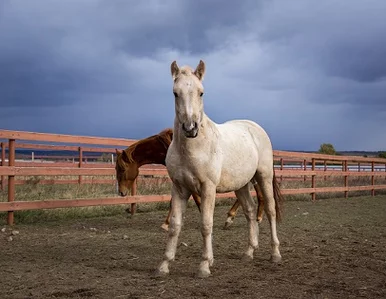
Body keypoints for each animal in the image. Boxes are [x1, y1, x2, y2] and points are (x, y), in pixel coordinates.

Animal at [154, 60, 284, 278]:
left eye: (201, 93)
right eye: (175, 93)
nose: (190, 128)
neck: (194, 148)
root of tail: (255, 127)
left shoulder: (208, 188)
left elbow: (206, 225)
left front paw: (204, 266)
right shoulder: (179, 188)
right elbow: (175, 226)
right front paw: (164, 265)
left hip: (264, 177)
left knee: (270, 210)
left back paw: (275, 254)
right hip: (241, 185)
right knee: (249, 211)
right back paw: (249, 252)